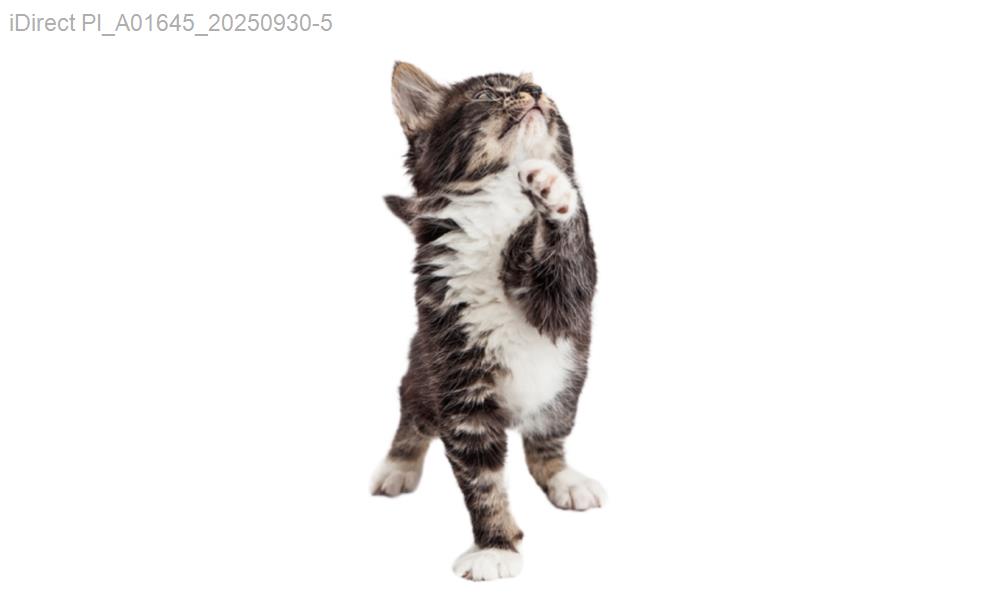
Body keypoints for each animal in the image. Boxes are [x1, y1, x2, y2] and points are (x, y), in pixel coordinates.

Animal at [371, 62, 604, 581]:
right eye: (487, 94)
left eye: (543, 91)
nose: (536, 91)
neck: (493, 205)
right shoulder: (460, 383)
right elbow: (481, 479)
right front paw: (496, 546)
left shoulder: (566, 300)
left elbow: (565, 258)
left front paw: (552, 185)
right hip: (423, 371)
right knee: (411, 414)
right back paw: (397, 466)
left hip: (565, 391)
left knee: (545, 444)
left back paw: (565, 478)